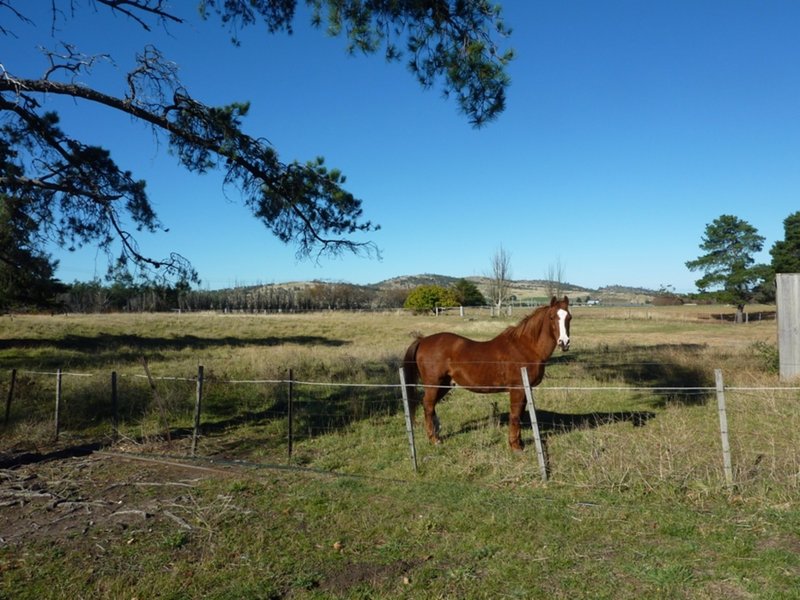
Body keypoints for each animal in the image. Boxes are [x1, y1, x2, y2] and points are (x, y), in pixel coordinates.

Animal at [404, 296, 572, 450]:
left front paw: (518, 442)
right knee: (428, 406)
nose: (564, 342)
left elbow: (520, 415)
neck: (526, 347)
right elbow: (515, 415)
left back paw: (437, 434)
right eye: (552, 317)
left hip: (445, 385)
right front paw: (515, 446)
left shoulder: (525, 389)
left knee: (431, 407)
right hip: (433, 384)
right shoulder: (517, 389)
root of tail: (423, 340)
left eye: (569, 317)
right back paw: (434, 439)